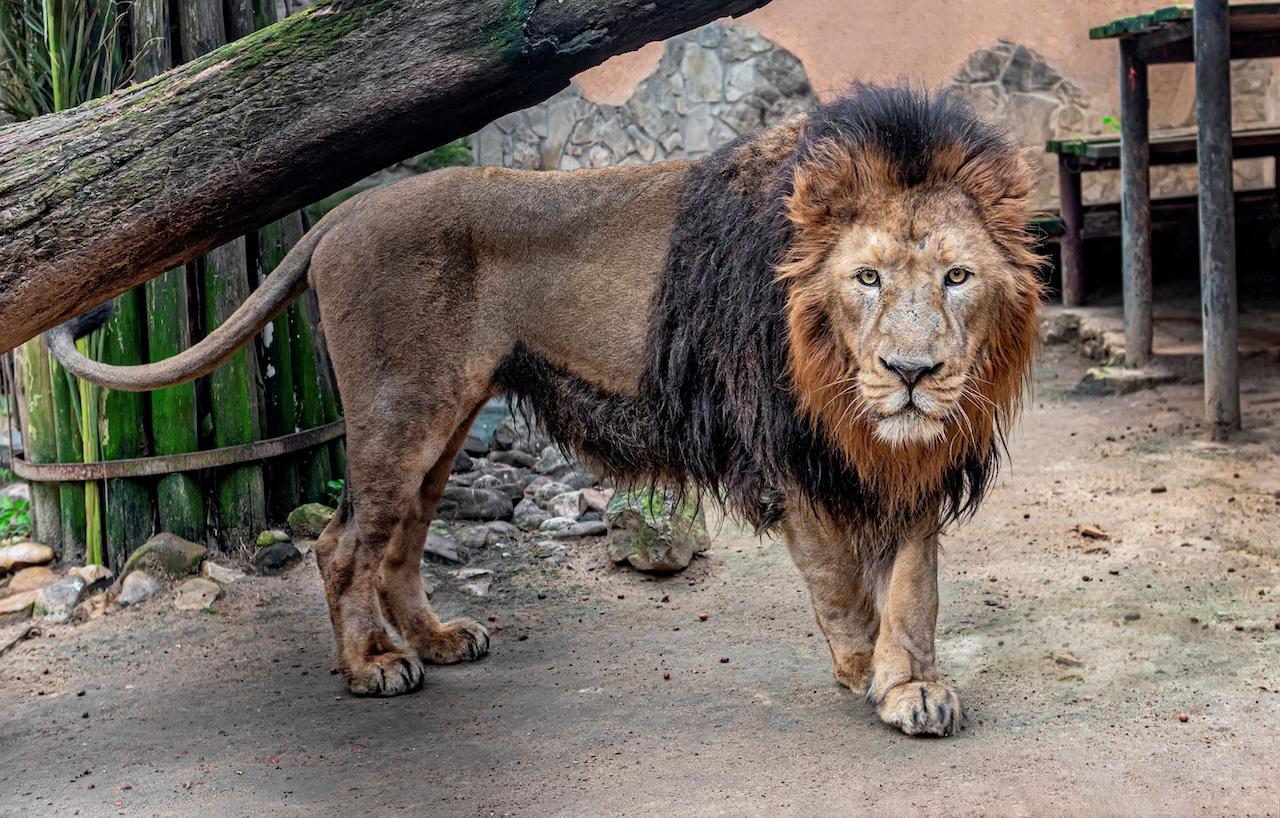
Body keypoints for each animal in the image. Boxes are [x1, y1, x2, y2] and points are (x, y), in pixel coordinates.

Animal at [52, 83, 1049, 737]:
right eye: (867, 278)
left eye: (958, 277)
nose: (912, 372)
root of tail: (338, 216)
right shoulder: (783, 448)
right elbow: (844, 584)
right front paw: (865, 676)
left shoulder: (913, 457)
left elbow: (912, 588)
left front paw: (913, 683)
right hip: (398, 415)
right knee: (340, 546)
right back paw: (373, 667)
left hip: (445, 420)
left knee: (398, 543)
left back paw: (440, 640)